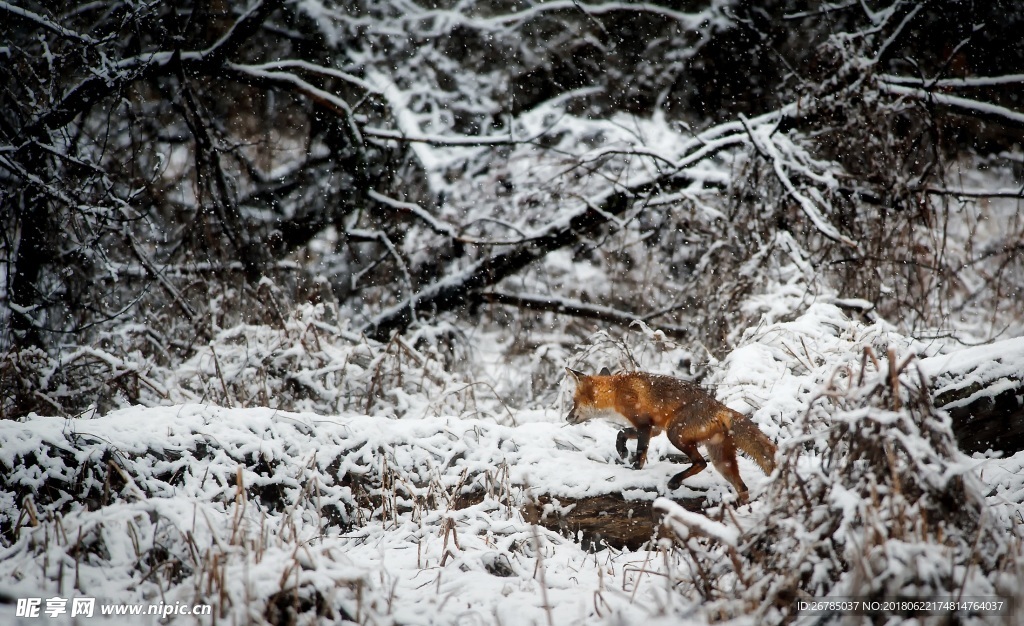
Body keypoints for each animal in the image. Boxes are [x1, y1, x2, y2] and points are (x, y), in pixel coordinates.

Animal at [561, 368, 774, 502]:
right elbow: (622, 433)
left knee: (701, 463)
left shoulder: (644, 425)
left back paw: (675, 481)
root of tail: (721, 408)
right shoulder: (653, 429)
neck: (617, 391)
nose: (567, 417)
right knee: (742, 488)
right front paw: (621, 450)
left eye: (574, 402)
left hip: (675, 434)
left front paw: (634, 469)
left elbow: (640, 452)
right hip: (721, 461)